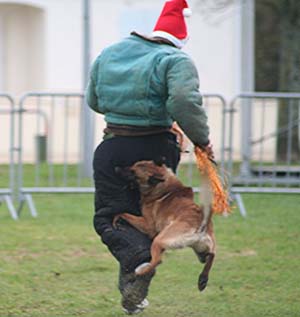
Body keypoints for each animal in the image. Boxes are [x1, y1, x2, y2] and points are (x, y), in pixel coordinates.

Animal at [114, 159, 216, 290]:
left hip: (159, 240)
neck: (162, 187)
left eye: (133, 172)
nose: (116, 168)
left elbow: (123, 213)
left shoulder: (148, 225)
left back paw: (140, 272)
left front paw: (117, 219)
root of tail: (201, 222)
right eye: (132, 165)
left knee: (158, 260)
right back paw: (203, 279)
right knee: (211, 255)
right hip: (201, 251)